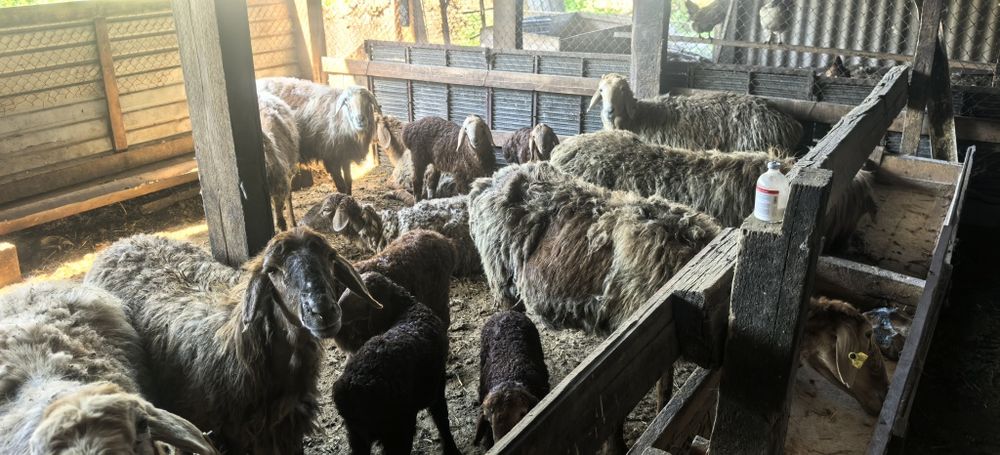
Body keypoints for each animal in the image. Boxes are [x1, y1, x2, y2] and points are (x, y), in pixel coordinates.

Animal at [84, 227, 380, 454]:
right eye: (272, 270)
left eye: (330, 257)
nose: (323, 311)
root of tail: (122, 241)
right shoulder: (235, 434)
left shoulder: (288, 425)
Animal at [257, 77, 386, 195]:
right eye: (347, 103)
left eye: (367, 102)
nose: (360, 120)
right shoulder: (331, 158)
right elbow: (341, 186)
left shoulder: (345, 156)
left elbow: (349, 183)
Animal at [333, 271, 461, 455]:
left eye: (358, 295)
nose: (338, 312)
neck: (408, 309)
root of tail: (350, 388)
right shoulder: (437, 387)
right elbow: (442, 420)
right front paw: (452, 449)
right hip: (397, 429)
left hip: (358, 435)